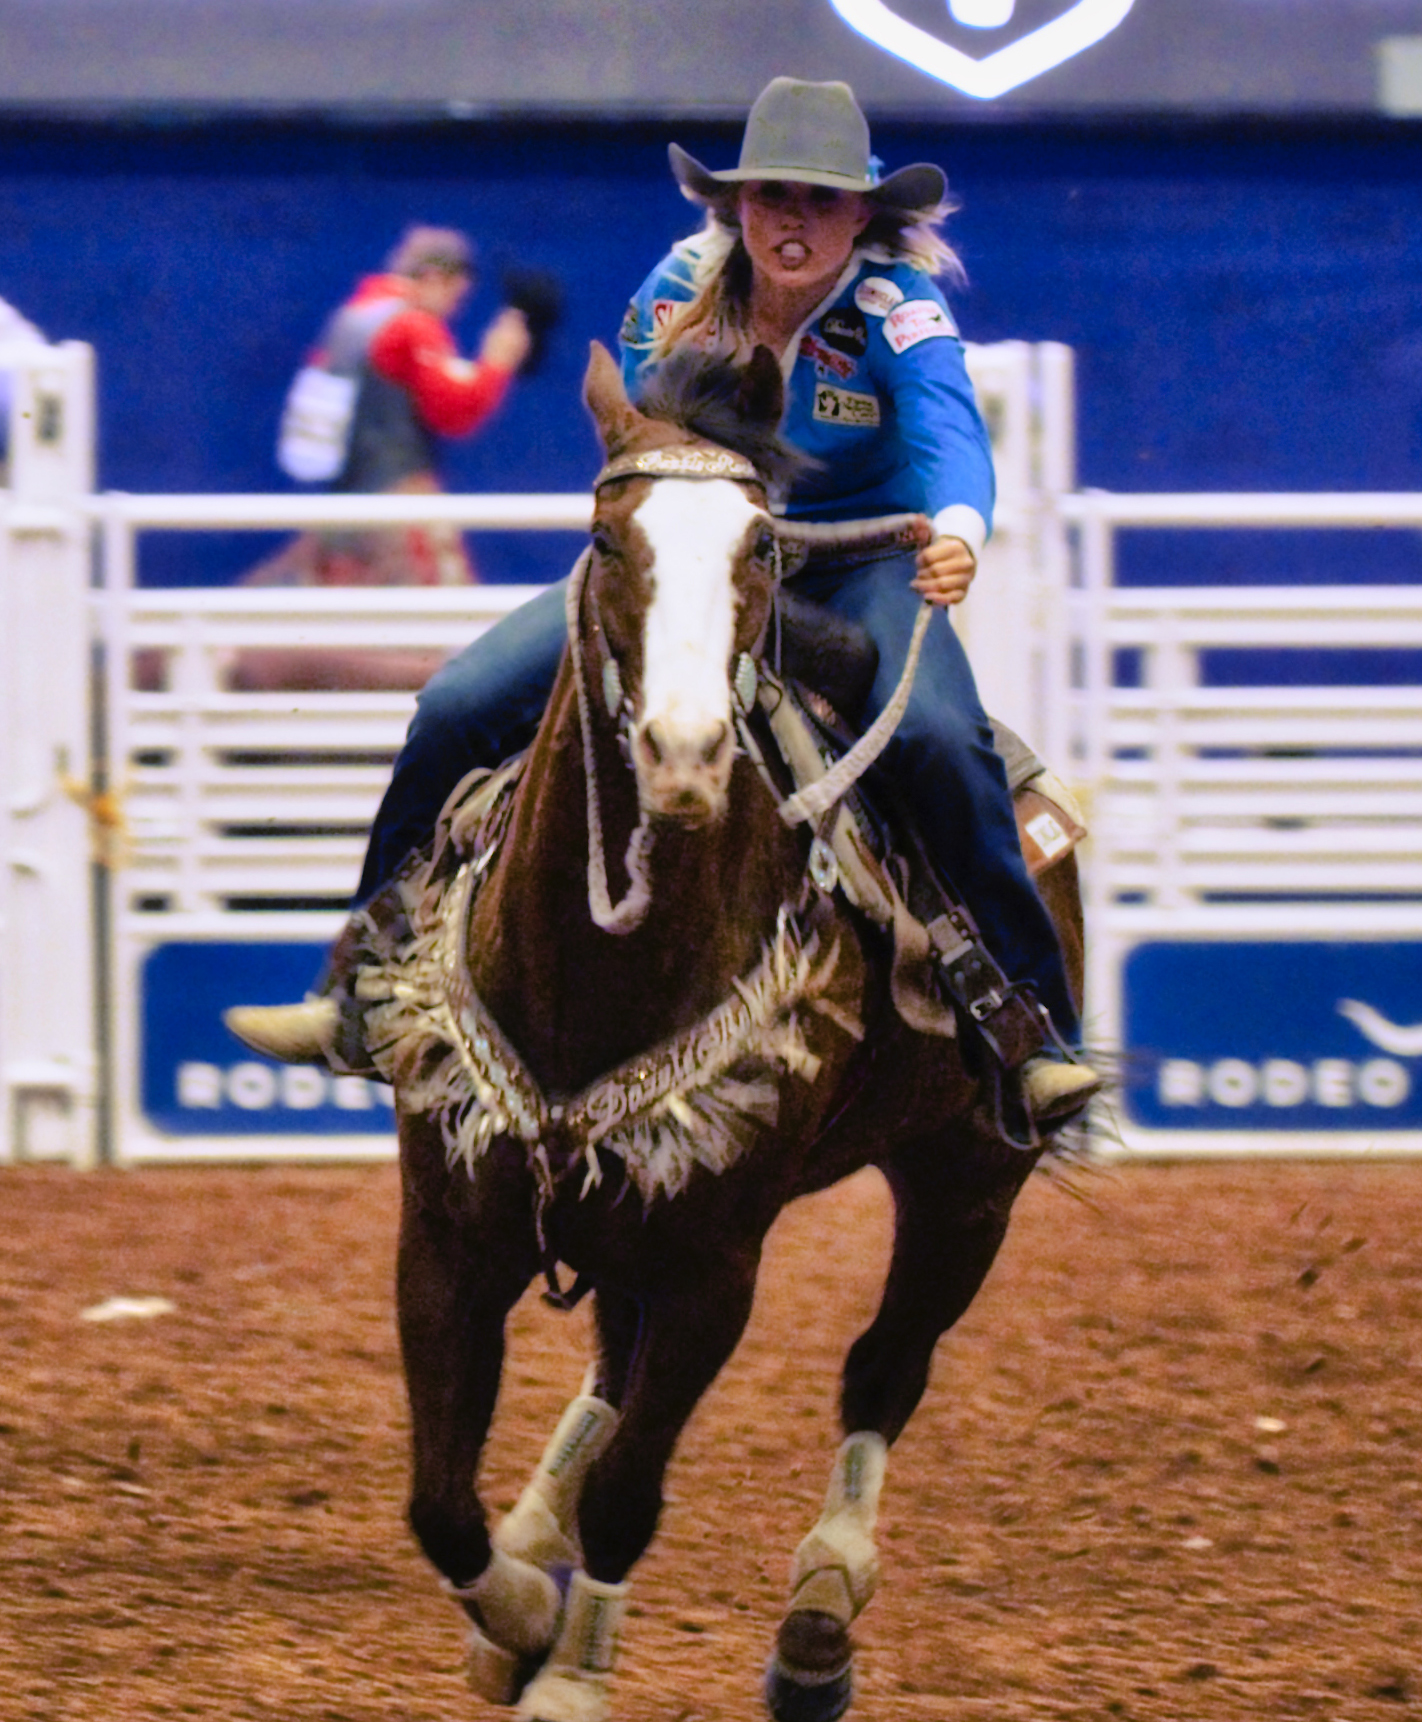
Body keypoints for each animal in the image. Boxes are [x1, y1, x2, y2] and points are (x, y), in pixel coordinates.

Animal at [371, 342, 1081, 1722]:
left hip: (971, 1179)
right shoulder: (448, 1232)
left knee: (883, 1368)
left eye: (760, 545)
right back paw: (537, 1538)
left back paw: (817, 1620)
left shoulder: (716, 1267)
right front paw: (518, 1612)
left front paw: (569, 1671)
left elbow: (631, 1496)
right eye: (606, 534)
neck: (590, 975)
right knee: (608, 1373)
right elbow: (435, 1499)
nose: (687, 750)